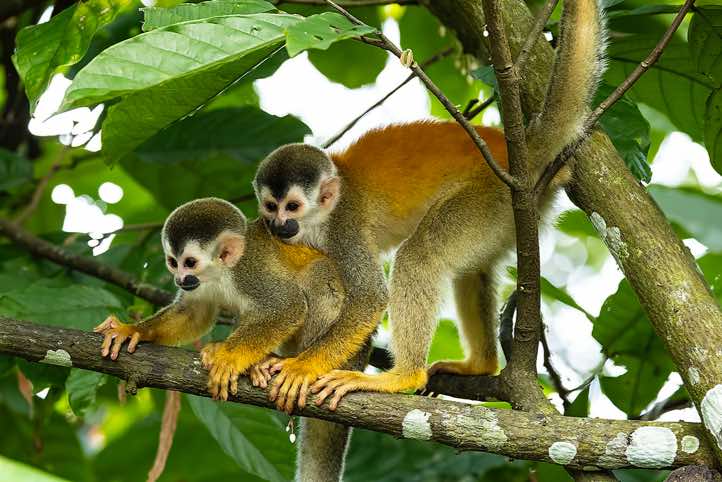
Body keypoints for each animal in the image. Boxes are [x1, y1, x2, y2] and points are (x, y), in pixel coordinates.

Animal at [93, 197, 362, 481]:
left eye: (189, 262)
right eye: (172, 262)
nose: (179, 279)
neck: (222, 273)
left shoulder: (251, 273)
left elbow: (287, 306)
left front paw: (228, 359)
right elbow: (193, 313)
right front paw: (133, 331)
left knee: (318, 274)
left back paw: (294, 363)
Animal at [252, 0, 606, 411]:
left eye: (292, 207)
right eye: (270, 206)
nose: (279, 226)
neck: (319, 219)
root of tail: (520, 155)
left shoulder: (345, 225)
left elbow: (370, 297)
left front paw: (301, 366)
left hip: (487, 195)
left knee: (420, 256)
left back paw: (403, 375)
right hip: (505, 213)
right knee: (473, 269)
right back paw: (481, 365)